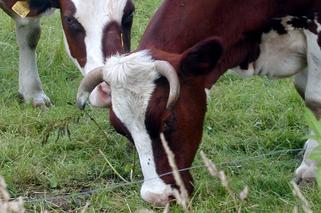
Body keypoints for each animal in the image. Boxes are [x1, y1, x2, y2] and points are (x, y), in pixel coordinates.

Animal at [0, 0, 134, 106]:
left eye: (130, 14)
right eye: (69, 19)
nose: (110, 89)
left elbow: (30, 34)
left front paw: (33, 94)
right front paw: (33, 93)